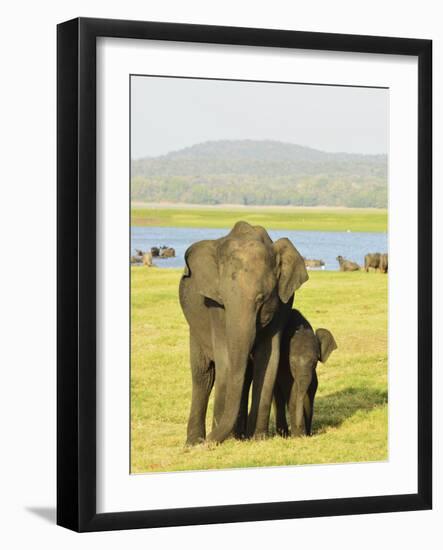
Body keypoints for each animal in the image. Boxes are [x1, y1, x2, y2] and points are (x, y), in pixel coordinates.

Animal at [180, 222, 308, 446]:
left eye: (261, 299)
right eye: (222, 298)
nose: (209, 442)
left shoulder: (283, 302)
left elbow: (268, 359)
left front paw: (257, 438)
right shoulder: (214, 307)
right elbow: (225, 361)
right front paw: (222, 439)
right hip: (194, 328)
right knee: (203, 375)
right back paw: (194, 442)